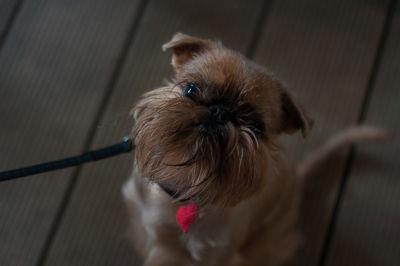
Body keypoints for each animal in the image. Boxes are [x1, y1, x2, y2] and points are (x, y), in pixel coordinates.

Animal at [122, 33, 390, 266]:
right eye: (191, 89)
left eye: (256, 127)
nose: (220, 111)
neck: (182, 185)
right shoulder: (142, 226)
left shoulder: (215, 256)